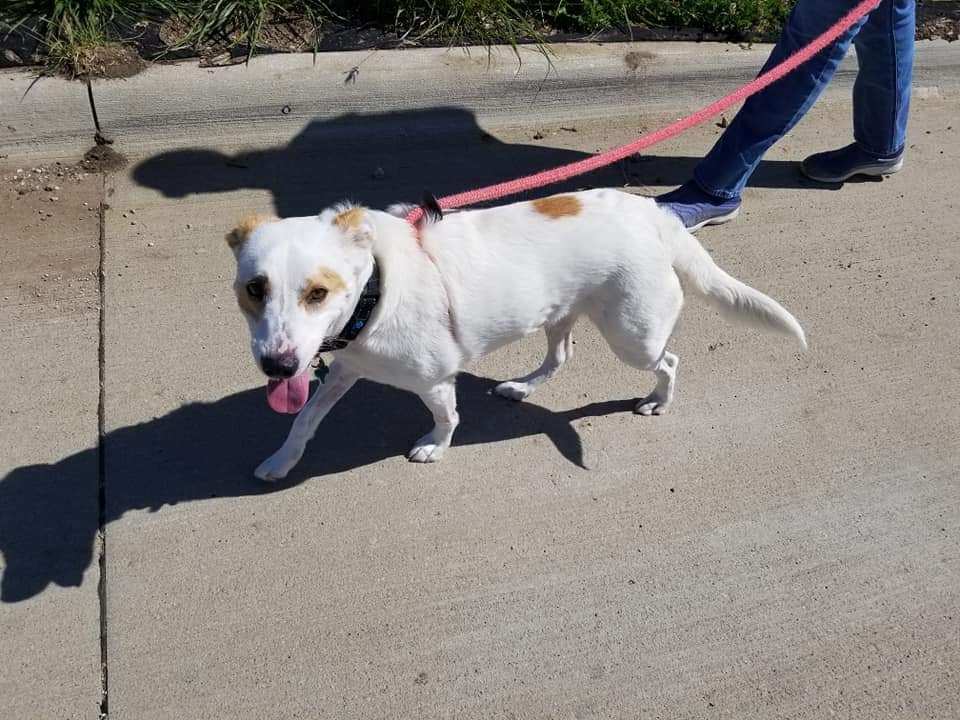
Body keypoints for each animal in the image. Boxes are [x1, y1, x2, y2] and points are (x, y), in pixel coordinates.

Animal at [227, 188, 804, 478]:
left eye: (318, 293)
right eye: (254, 289)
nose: (277, 366)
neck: (377, 289)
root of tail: (654, 213)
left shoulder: (434, 380)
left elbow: (446, 417)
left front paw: (435, 447)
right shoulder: (343, 368)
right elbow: (304, 420)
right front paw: (282, 460)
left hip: (633, 337)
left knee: (669, 361)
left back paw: (658, 401)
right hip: (558, 315)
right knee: (560, 357)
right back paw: (522, 387)